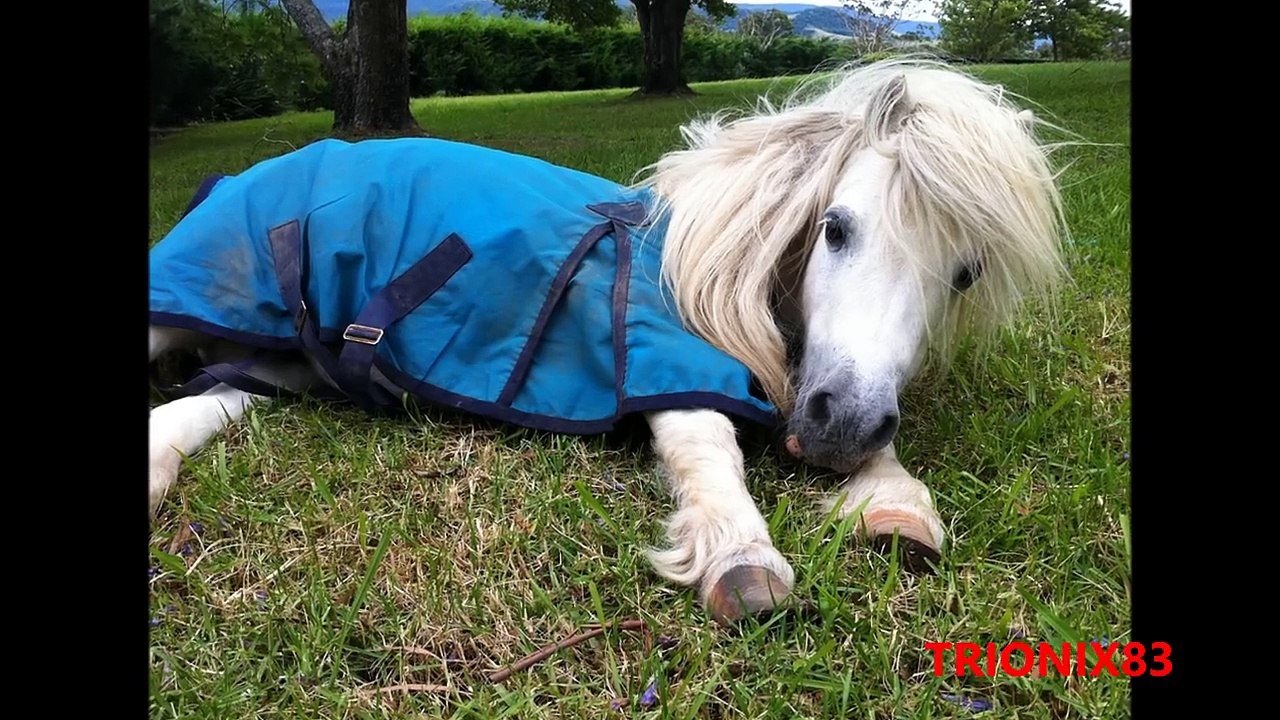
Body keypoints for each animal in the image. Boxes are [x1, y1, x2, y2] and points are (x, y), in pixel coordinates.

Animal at [148, 58, 1067, 626]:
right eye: (835, 228)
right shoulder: (663, 357)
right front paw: (742, 558)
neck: (702, 268)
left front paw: (894, 505)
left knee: (211, 399)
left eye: (966, 273)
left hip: (288, 358)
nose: (842, 428)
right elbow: (706, 445)